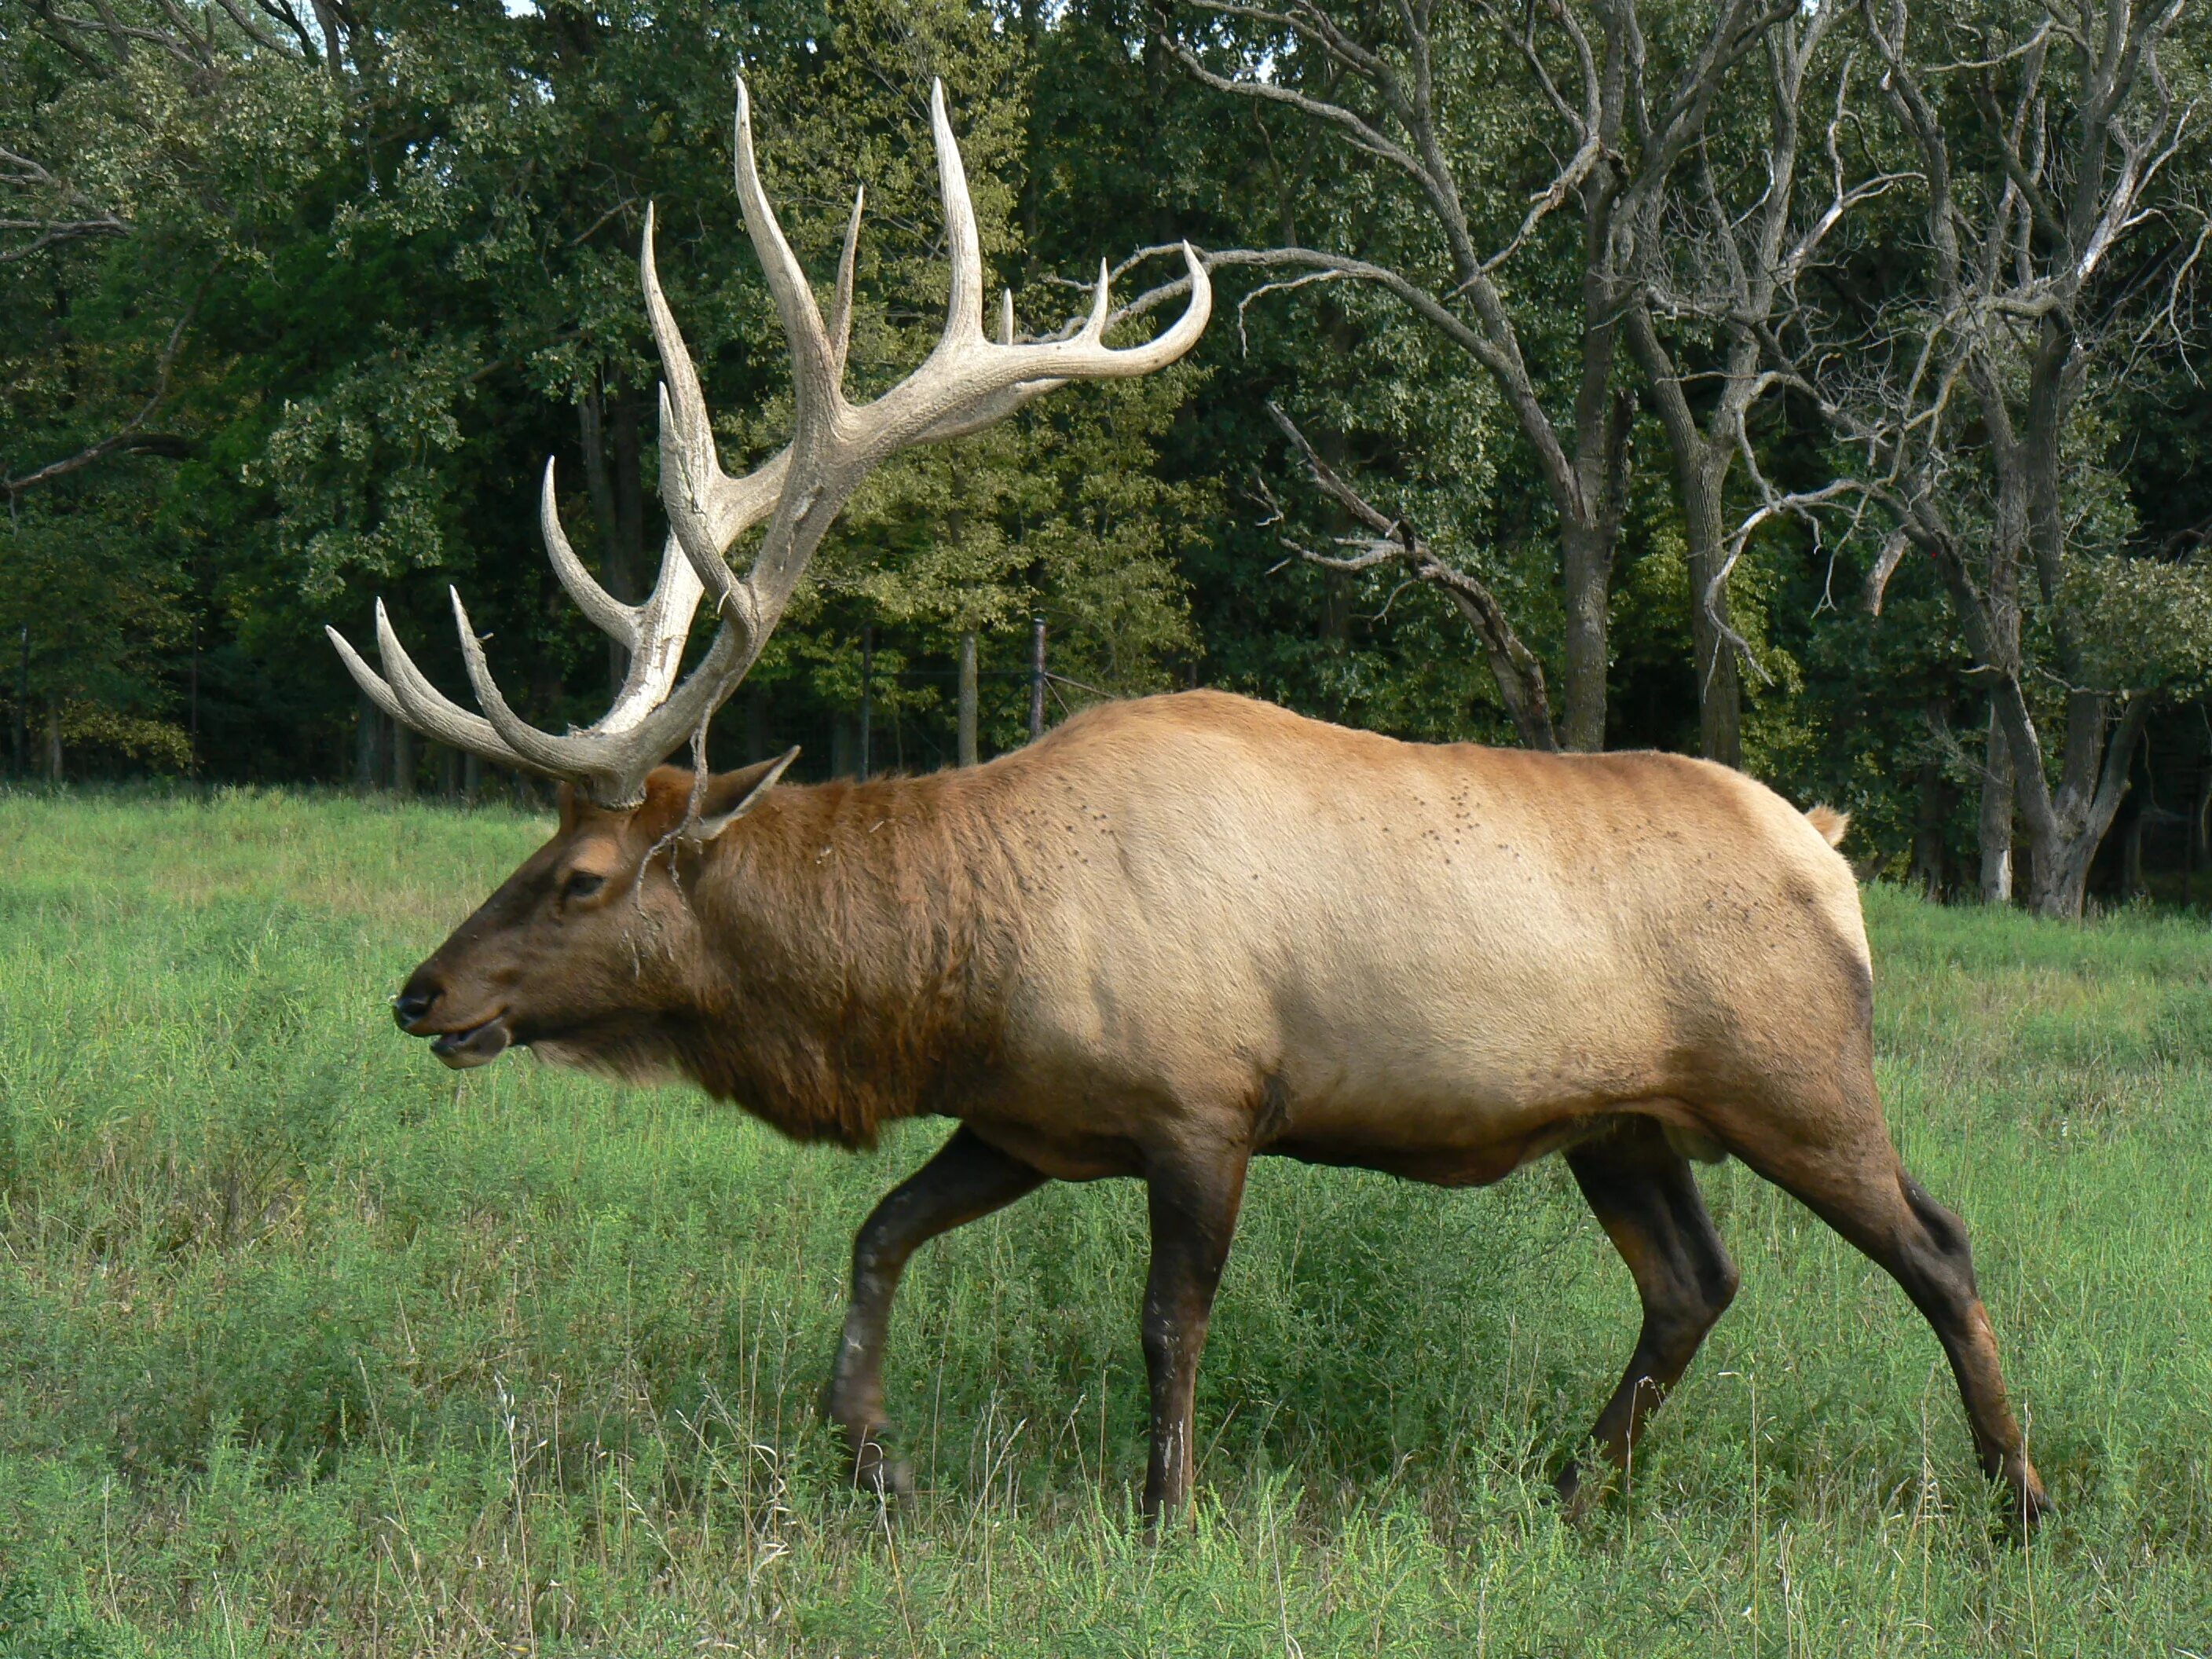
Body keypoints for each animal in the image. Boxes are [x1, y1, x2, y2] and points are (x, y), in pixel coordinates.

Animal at [331, 78, 2053, 1530]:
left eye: (581, 876)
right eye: (535, 850)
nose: (423, 994)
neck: (950, 971)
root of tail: (1831, 856)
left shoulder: (1203, 1104)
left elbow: (1167, 1327)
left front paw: (1164, 1514)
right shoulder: (1021, 1114)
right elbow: (879, 1231)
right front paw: (866, 1454)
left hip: (1797, 1076)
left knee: (1939, 1243)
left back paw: (2016, 1502)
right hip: (1623, 1122)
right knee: (1694, 1282)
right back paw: (1574, 1491)